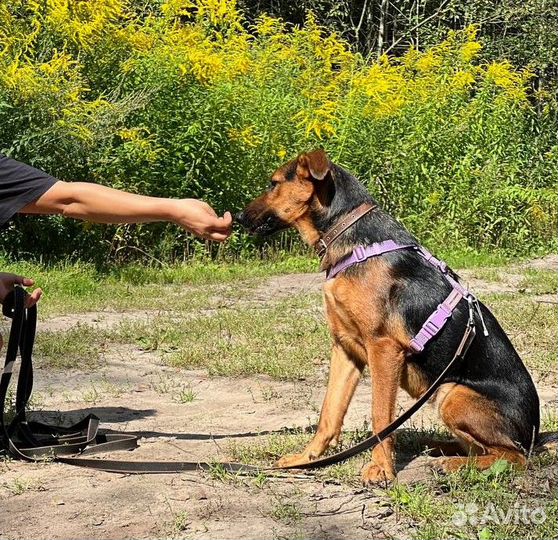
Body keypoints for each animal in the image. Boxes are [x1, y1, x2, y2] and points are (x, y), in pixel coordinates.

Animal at [235, 150, 556, 484]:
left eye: (273, 183)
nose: (239, 218)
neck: (349, 235)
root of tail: (534, 434)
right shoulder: (345, 348)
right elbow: (329, 413)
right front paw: (307, 458)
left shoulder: (383, 349)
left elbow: (380, 417)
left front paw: (380, 469)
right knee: (482, 448)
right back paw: (436, 446)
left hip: (453, 394)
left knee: (513, 456)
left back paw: (453, 464)